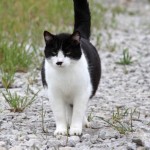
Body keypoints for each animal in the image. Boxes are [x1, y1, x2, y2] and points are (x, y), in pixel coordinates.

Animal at [41, 0, 101, 136]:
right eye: (54, 52)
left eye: (68, 52)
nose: (59, 62)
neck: (65, 74)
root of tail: (81, 36)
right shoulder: (54, 93)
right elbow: (59, 113)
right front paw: (61, 130)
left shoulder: (82, 92)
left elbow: (78, 111)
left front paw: (75, 129)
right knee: (68, 107)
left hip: (90, 88)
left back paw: (83, 122)